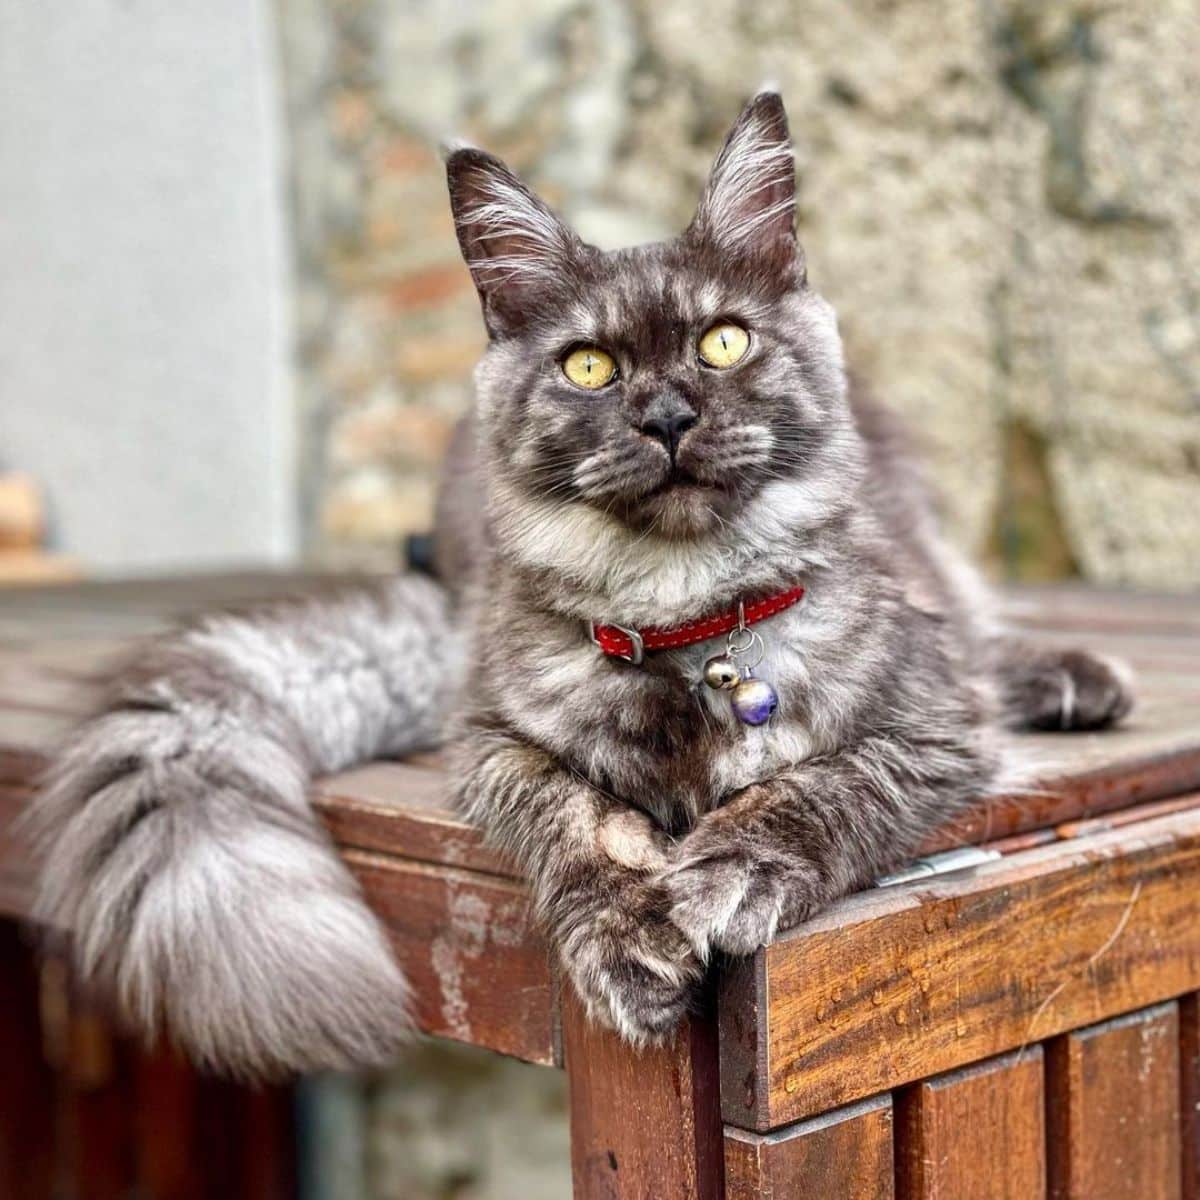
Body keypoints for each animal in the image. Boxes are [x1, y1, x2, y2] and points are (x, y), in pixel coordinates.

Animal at [30, 88, 1132, 1075]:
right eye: (591, 367)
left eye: (723, 342)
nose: (668, 417)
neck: (684, 619)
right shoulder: (493, 738)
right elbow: (582, 822)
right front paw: (628, 937)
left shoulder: (932, 722)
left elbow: (815, 788)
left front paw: (725, 874)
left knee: (978, 634)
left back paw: (1073, 679)